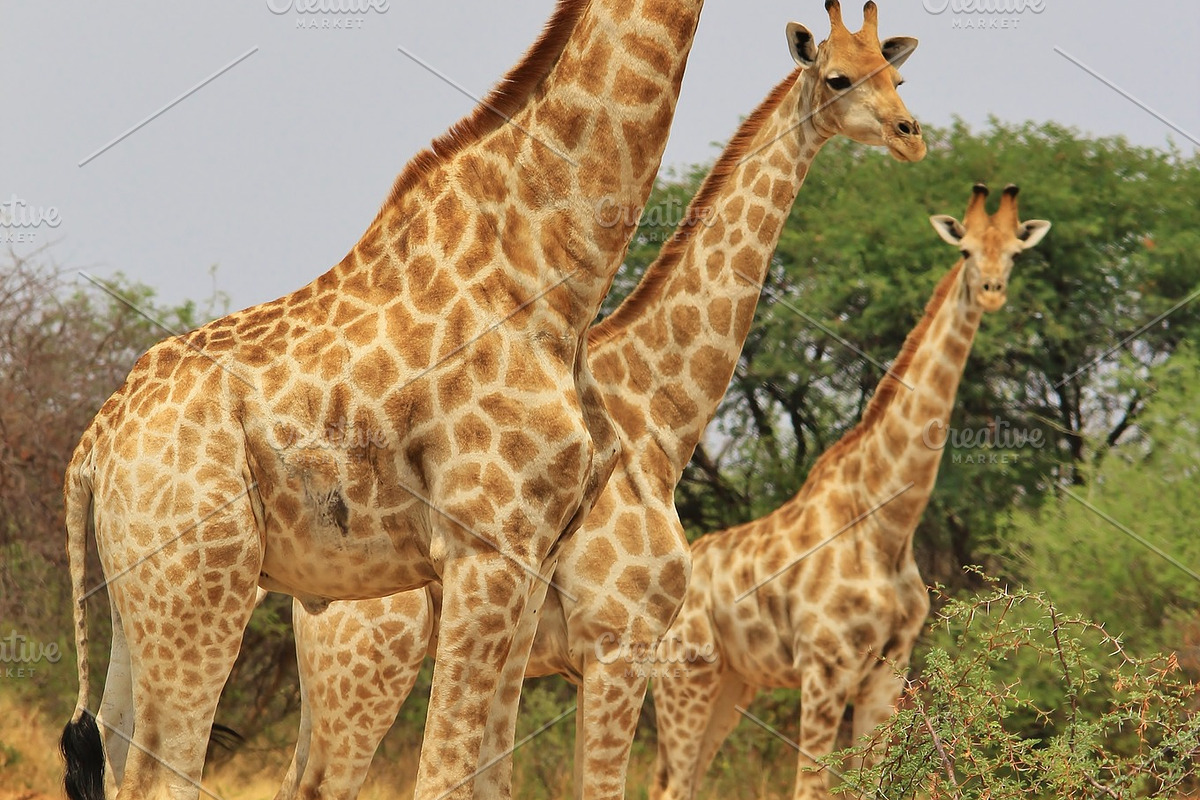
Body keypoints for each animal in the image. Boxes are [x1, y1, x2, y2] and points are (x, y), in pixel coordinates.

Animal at [58, 1, 710, 798]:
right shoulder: (484, 549)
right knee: (165, 772)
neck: (551, 279)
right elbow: (441, 773)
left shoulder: (535, 557)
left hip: (136, 599)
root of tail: (93, 447)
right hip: (203, 585)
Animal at [269, 4, 926, 798]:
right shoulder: (620, 642)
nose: (911, 134)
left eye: (896, 74)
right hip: (373, 662)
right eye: (839, 78)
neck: (664, 418)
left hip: (332, 675)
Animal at [649, 184, 1051, 800]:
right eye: (964, 252)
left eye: (1013, 253)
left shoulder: (888, 671)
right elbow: (811, 786)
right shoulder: (825, 667)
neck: (888, 524)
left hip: (734, 683)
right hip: (687, 675)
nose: (991, 291)